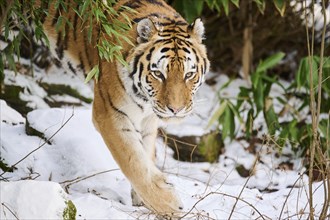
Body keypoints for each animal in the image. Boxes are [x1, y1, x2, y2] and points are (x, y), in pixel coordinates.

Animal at [37, 0, 210, 217]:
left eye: (189, 74)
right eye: (158, 74)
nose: (176, 110)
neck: (145, 99)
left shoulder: (148, 120)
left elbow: (146, 153)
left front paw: (143, 199)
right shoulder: (110, 114)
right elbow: (133, 160)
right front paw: (168, 204)